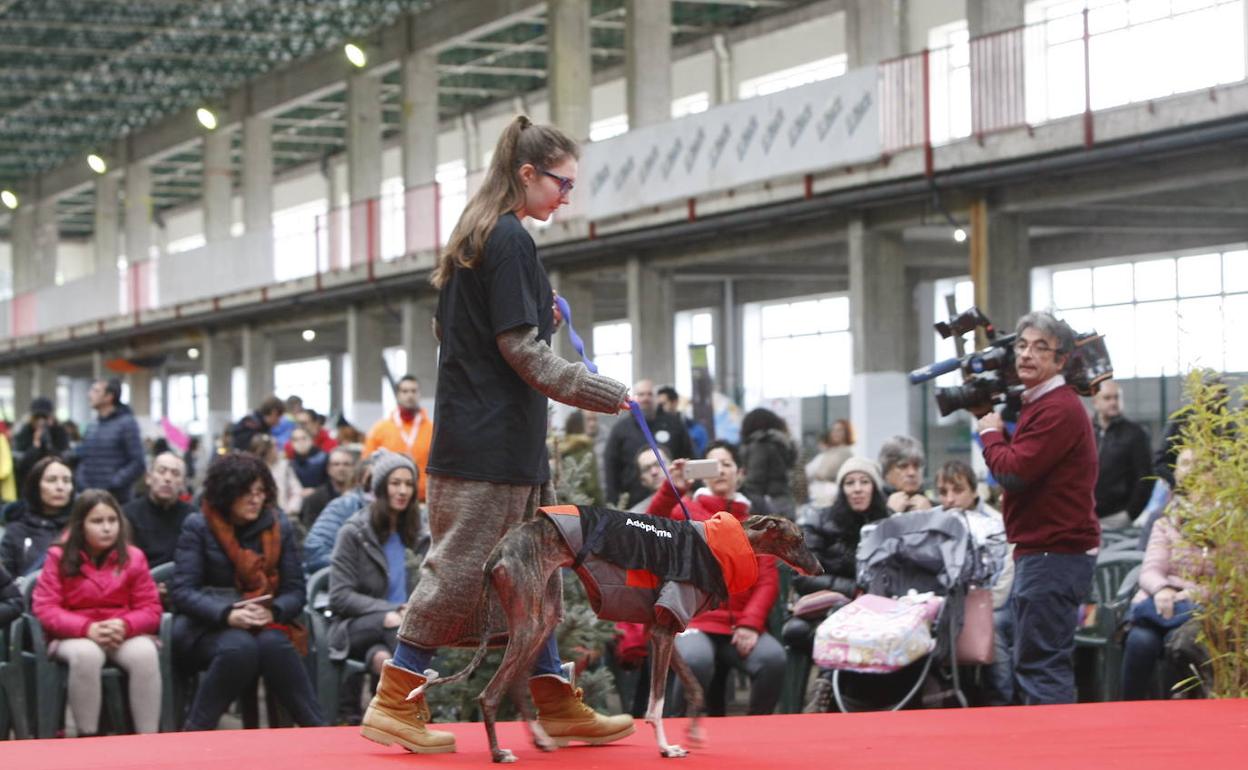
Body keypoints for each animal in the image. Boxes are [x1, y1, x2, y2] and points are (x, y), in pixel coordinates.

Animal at [409, 511, 818, 763]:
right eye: (800, 539)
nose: (820, 568)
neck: (715, 545)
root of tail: (497, 551)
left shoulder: (663, 628)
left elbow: (694, 686)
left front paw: (694, 733)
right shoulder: (664, 630)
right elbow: (655, 704)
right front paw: (667, 748)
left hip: (540, 620)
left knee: (516, 683)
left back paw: (540, 739)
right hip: (530, 623)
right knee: (490, 693)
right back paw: (498, 754)